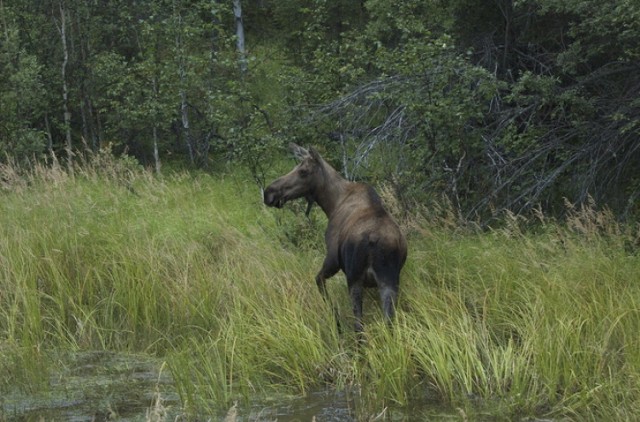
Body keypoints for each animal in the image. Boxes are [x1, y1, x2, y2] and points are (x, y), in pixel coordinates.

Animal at [264, 145, 404, 332]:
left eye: (303, 171)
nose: (268, 192)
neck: (331, 203)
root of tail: (374, 239)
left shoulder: (332, 260)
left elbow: (319, 282)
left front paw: (336, 323)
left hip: (355, 279)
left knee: (359, 325)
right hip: (389, 282)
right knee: (389, 324)